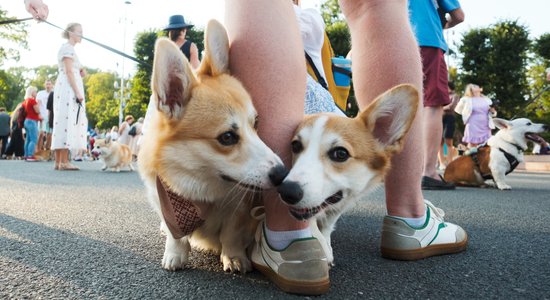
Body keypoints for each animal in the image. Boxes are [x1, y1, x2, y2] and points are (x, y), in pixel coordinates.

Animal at [138, 19, 286, 274]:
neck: (199, 189)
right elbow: (175, 235)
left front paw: (234, 258)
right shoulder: (164, 201)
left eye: (256, 123)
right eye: (227, 137)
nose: (282, 173)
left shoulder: (240, 210)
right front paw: (175, 255)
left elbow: (231, 235)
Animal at [278, 84, 420, 264]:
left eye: (340, 154)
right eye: (295, 145)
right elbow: (312, 223)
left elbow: (327, 224)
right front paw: (321, 246)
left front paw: (325, 243)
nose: (286, 191)